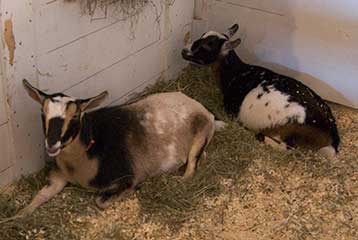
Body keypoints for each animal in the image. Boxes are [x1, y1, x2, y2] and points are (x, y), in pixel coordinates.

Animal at [18, 79, 224, 216]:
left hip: (201, 133)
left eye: (75, 116)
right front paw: (18, 216)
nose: (52, 144)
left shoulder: (125, 178)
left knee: (192, 165)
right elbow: (40, 196)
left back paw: (182, 179)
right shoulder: (58, 176)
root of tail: (204, 110)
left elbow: (100, 201)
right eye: (42, 112)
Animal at [183, 24, 340, 158]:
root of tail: (331, 133)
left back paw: (261, 136)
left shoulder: (232, 112)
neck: (237, 73)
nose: (184, 51)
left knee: (287, 148)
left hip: (289, 131)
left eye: (205, 46)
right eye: (202, 35)